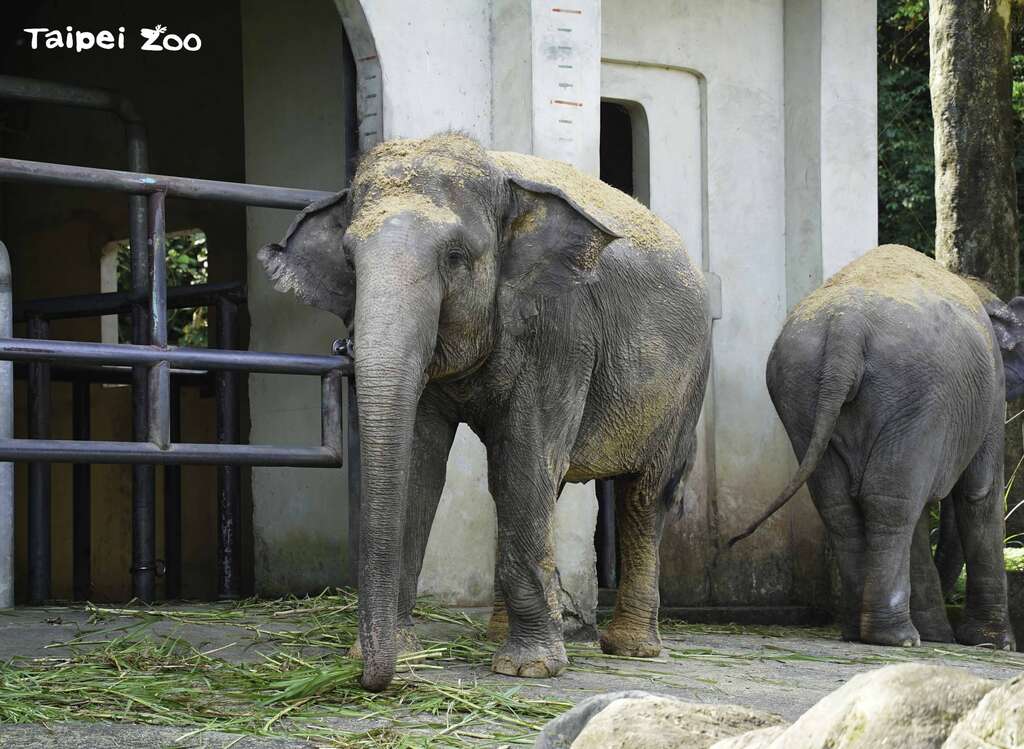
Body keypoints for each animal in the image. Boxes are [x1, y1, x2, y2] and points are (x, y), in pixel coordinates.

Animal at [259, 133, 711, 691]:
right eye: (348, 259)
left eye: (455, 257)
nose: (370, 676)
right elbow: (421, 468)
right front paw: (400, 654)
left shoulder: (560, 328)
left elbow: (524, 461)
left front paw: (530, 669)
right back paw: (500, 632)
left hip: (687, 384)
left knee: (644, 494)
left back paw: (632, 651)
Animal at [730, 244, 1018, 650]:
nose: (952, 630)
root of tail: (846, 327)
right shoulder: (989, 395)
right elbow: (980, 493)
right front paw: (994, 644)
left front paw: (945, 636)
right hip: (913, 394)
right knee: (891, 502)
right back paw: (898, 637)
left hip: (801, 393)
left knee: (841, 505)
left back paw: (859, 631)